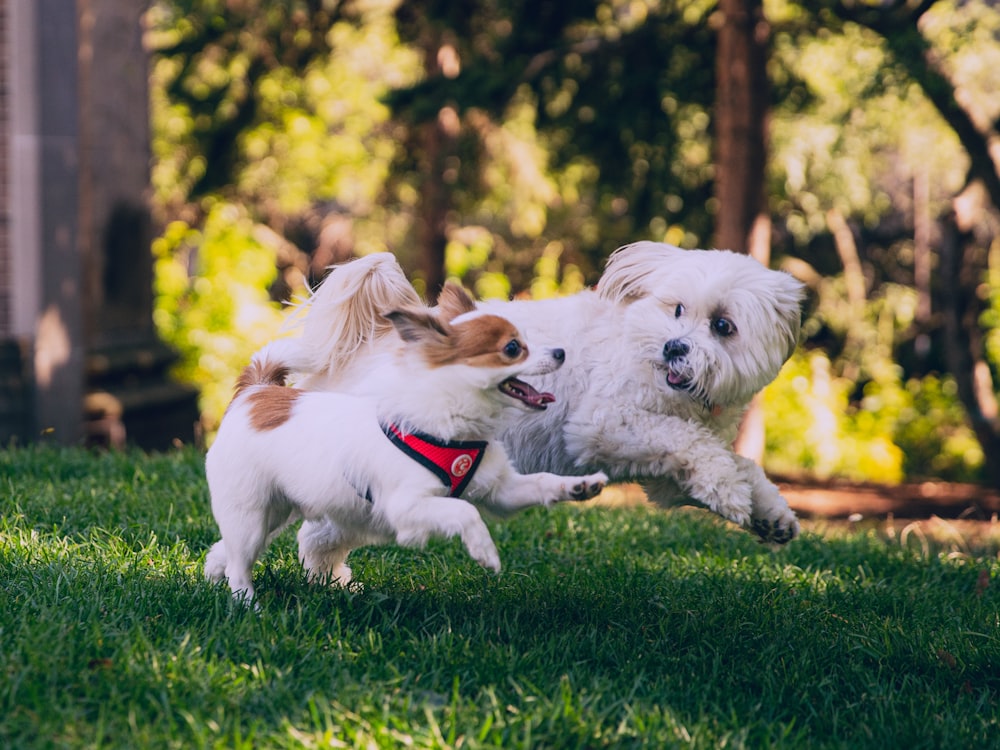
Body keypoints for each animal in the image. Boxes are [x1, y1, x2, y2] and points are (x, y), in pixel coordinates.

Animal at [204, 284, 608, 604]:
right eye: (513, 348)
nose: (560, 352)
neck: (453, 426)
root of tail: (255, 392)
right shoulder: (406, 505)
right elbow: (466, 511)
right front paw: (484, 551)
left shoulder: (500, 491)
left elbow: (541, 483)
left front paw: (581, 486)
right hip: (250, 512)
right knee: (241, 563)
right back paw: (248, 606)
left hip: (275, 512)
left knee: (227, 550)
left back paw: (211, 577)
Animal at [264, 244, 804, 544]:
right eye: (677, 310)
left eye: (723, 326)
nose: (674, 347)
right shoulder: (604, 426)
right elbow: (696, 445)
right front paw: (733, 493)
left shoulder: (663, 476)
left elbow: (733, 463)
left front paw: (770, 515)